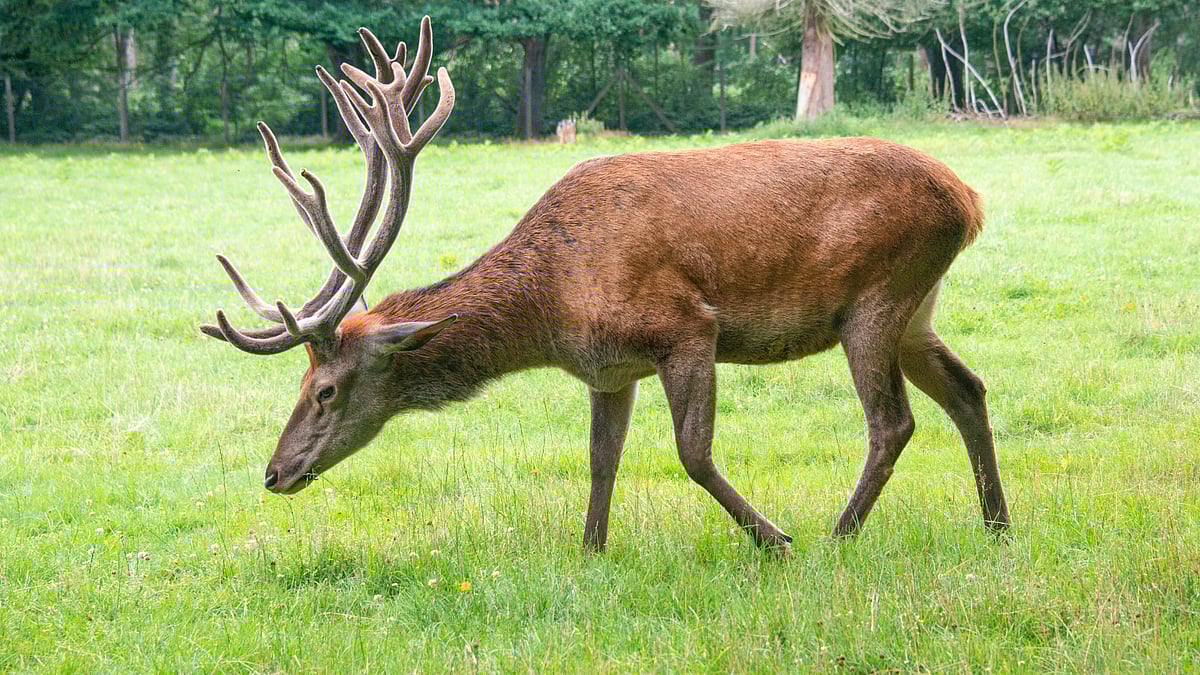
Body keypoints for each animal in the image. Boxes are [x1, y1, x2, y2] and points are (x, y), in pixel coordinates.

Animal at [200, 17, 1009, 554]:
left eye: (325, 389)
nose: (274, 472)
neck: (553, 306)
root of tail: (969, 199)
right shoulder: (608, 368)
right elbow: (601, 460)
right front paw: (591, 550)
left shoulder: (686, 326)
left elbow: (692, 453)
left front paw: (774, 539)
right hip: (916, 308)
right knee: (969, 390)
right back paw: (998, 524)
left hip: (876, 295)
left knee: (892, 423)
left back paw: (840, 535)